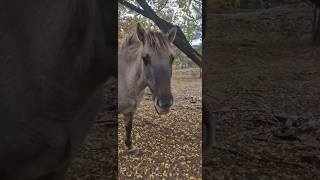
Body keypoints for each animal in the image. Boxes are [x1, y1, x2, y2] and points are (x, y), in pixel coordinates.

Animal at [118, 23, 178, 155]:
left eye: (172, 58)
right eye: (145, 58)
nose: (165, 104)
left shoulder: (131, 110)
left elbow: (128, 127)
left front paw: (130, 146)